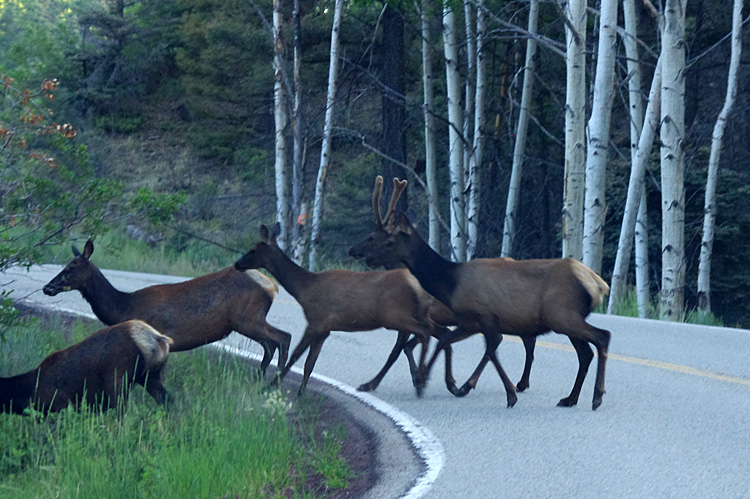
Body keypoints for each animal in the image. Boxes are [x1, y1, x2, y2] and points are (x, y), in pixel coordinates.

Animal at [42, 239, 292, 376]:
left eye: (71, 268)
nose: (47, 287)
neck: (123, 306)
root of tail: (272, 286)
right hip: (249, 320)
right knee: (271, 344)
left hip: (247, 318)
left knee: (282, 338)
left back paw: (273, 383)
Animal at [234, 225, 434, 396]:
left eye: (253, 249)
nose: (237, 264)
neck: (305, 289)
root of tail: (416, 285)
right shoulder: (325, 329)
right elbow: (309, 364)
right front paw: (300, 394)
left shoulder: (316, 321)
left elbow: (296, 356)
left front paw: (270, 386)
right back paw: (420, 378)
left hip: (395, 315)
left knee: (425, 332)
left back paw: (420, 380)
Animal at [352, 178, 540, 396]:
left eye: (373, 237)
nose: (353, 251)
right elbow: (416, 346)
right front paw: (425, 378)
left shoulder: (415, 318)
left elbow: (398, 350)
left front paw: (372, 384)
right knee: (518, 340)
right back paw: (514, 383)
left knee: (521, 340)